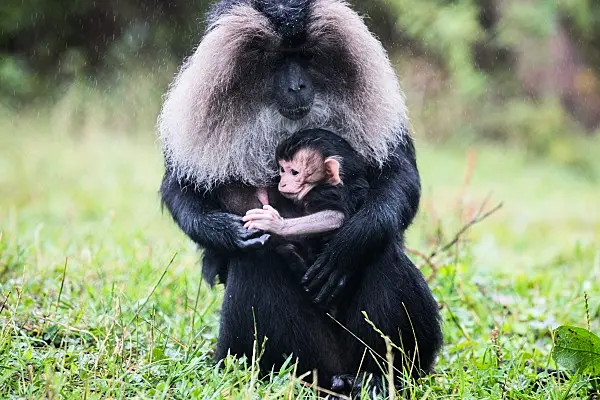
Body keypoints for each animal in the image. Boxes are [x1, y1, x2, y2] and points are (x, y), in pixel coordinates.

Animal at [244, 130, 370, 274]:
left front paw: (276, 224)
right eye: (282, 170)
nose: (282, 183)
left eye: (294, 172)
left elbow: (336, 216)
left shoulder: (326, 194)